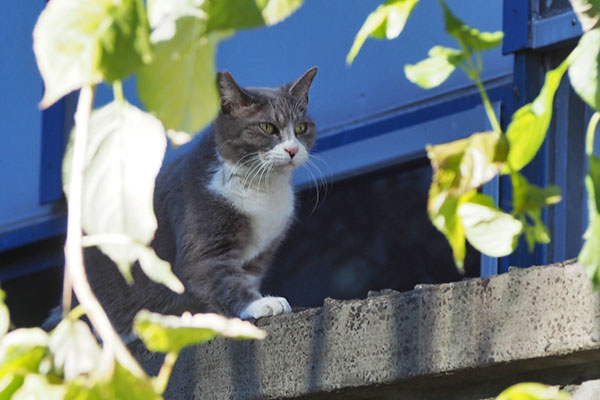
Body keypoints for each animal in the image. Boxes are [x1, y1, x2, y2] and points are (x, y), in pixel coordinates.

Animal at [45, 67, 318, 332]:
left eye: (301, 128)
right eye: (268, 127)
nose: (293, 150)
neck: (262, 188)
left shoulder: (258, 257)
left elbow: (243, 278)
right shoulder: (202, 234)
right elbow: (219, 277)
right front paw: (260, 304)